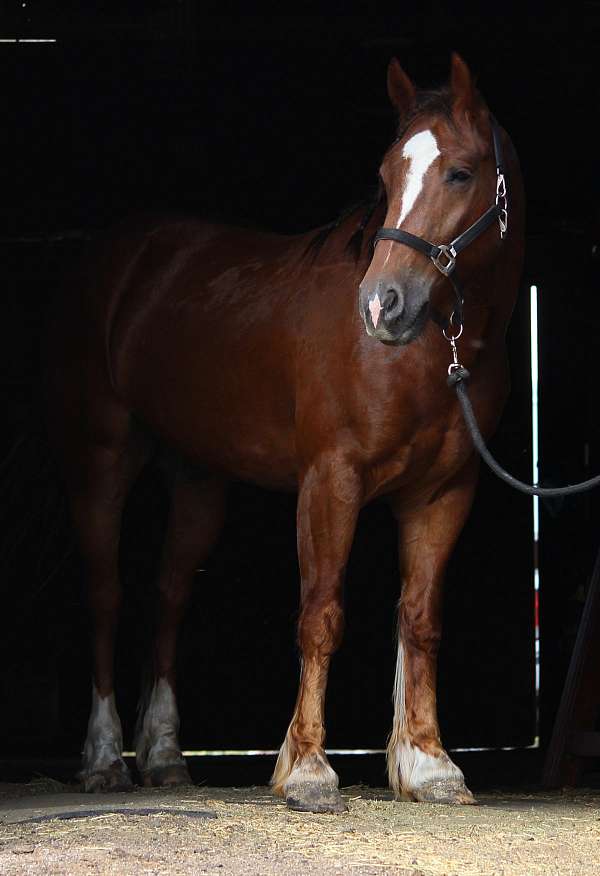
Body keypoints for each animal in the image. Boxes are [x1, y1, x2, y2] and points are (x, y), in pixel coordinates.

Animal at [44, 52, 524, 813]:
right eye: (386, 176)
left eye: (459, 172)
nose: (381, 305)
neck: (428, 353)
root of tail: (111, 261)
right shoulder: (331, 481)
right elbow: (321, 614)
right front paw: (306, 770)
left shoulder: (444, 492)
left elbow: (420, 618)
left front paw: (428, 764)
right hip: (101, 461)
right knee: (104, 594)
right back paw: (102, 760)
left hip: (199, 479)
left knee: (170, 595)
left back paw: (165, 756)